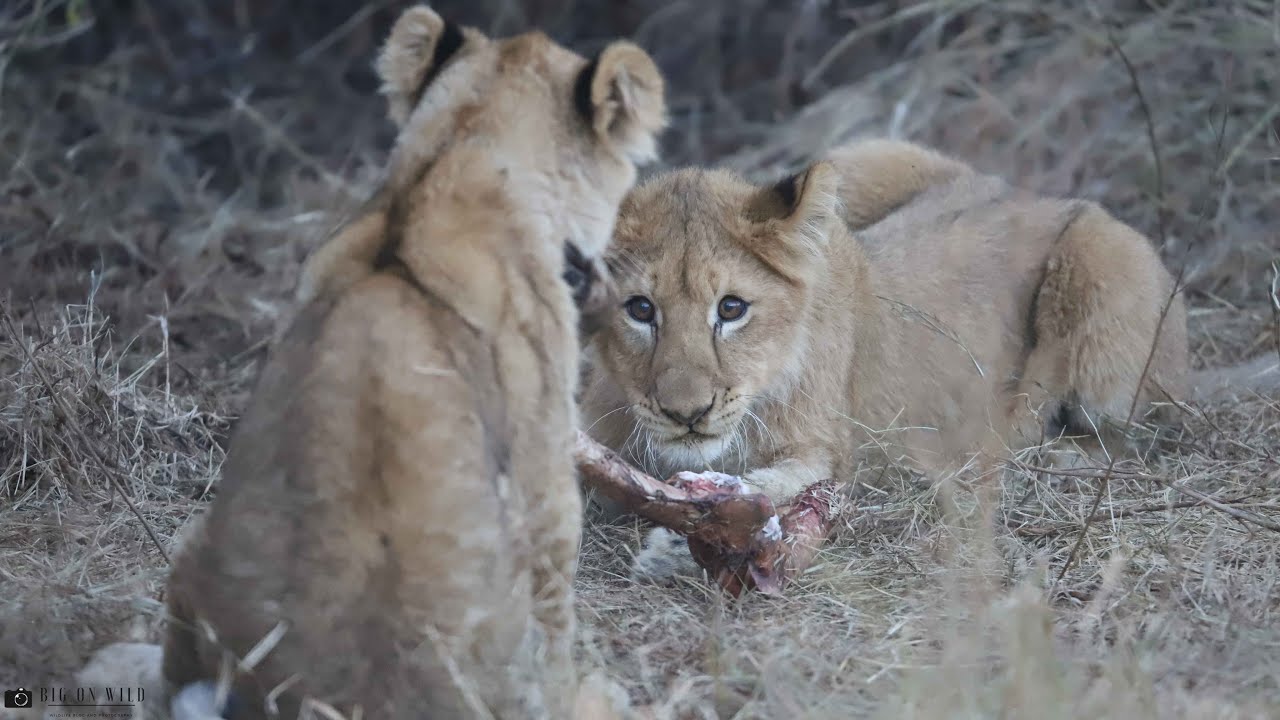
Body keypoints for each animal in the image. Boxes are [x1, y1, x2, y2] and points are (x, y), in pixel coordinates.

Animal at [579, 137, 1277, 581]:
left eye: (731, 308)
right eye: (640, 309)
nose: (686, 414)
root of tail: (1037, 193)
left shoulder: (831, 451)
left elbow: (775, 488)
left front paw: (684, 539)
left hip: (1106, 269)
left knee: (1133, 435)